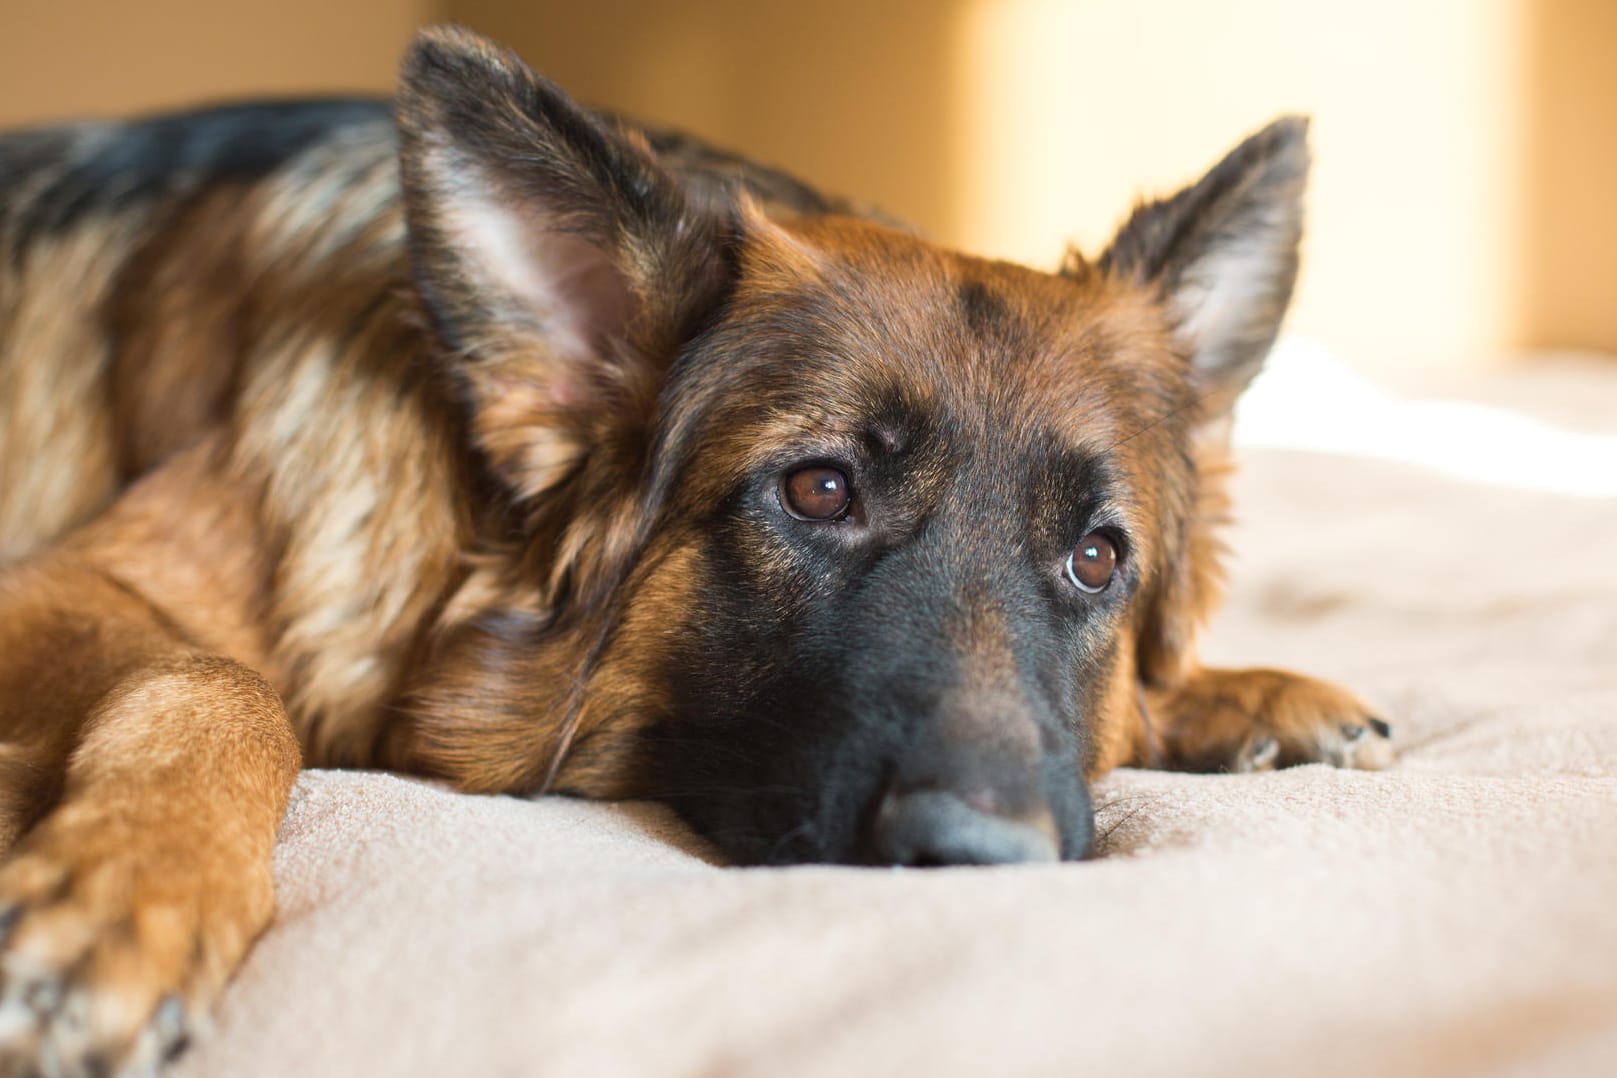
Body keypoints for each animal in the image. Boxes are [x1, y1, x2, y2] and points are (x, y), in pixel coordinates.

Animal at [0, 25, 1390, 1078]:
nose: (984, 868)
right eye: (820, 489)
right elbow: (217, 678)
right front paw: (131, 891)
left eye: (1097, 561)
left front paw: (1241, 694)